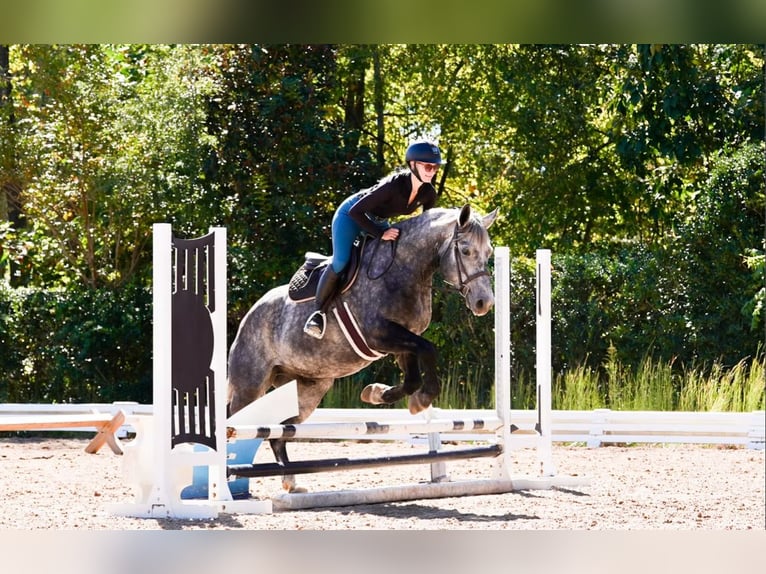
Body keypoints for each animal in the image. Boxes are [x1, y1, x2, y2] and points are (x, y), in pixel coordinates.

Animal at [227, 203, 498, 491]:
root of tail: (249, 315)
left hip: (308, 389)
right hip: (250, 385)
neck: (404, 269)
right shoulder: (378, 335)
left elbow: (413, 375)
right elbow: (428, 350)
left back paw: (291, 482)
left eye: (489, 253)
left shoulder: (402, 340)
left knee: (279, 433)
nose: (484, 303)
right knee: (234, 420)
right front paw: (421, 399)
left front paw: (379, 394)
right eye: (466, 250)